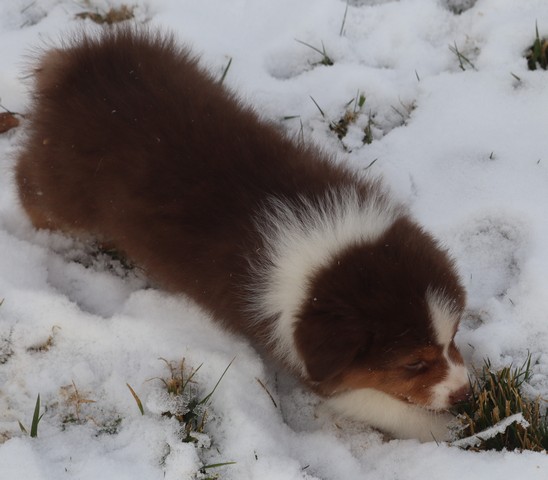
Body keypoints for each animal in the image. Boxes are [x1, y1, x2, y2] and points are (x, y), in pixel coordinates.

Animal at [16, 28, 469, 441]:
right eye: (413, 364)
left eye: (452, 338)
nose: (464, 393)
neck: (325, 252)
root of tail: (71, 65)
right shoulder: (299, 351)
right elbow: (375, 401)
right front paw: (447, 430)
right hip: (65, 186)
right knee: (29, 182)